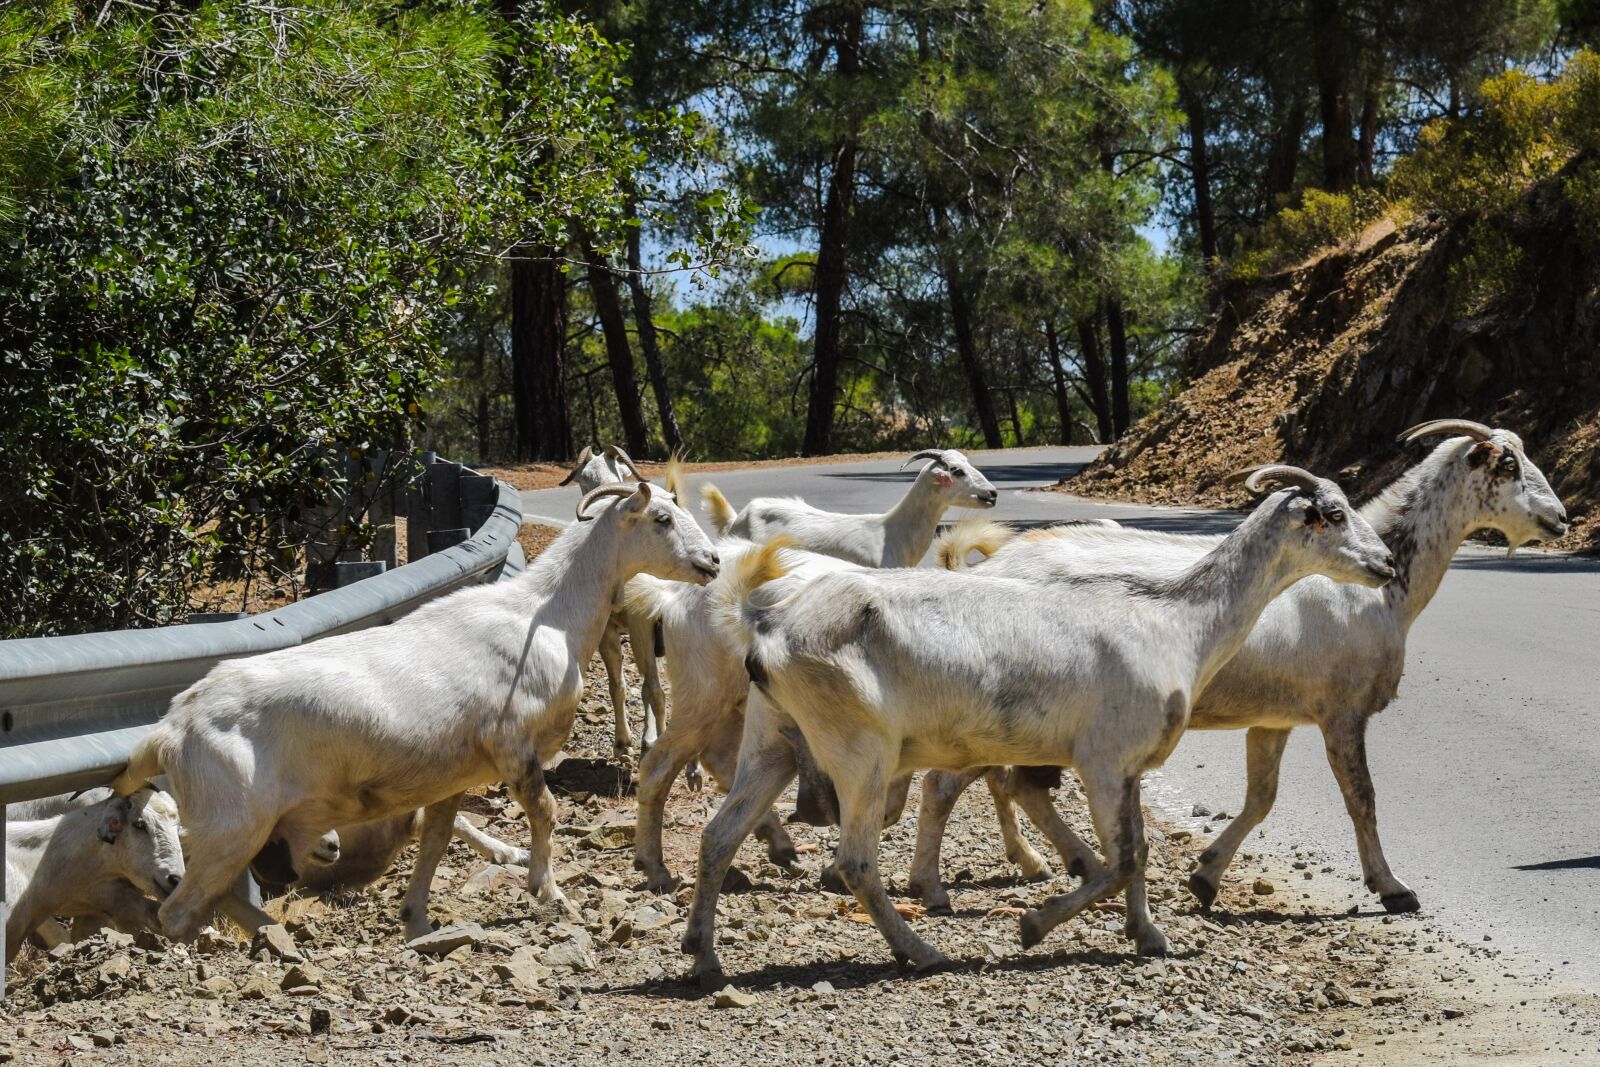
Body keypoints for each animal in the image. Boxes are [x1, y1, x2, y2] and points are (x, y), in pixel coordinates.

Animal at [112, 481, 720, 943]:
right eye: (662, 518)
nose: (712, 561)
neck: (544, 616)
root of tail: (170, 728)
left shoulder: (454, 772)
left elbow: (437, 837)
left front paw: (417, 919)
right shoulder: (513, 746)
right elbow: (545, 813)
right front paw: (550, 894)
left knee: (215, 898)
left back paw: (275, 937)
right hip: (230, 826)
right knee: (176, 911)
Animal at [680, 467, 1396, 986]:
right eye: (1332, 515)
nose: (1387, 565)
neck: (1178, 623)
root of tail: (767, 627)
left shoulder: (1127, 765)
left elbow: (1137, 853)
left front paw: (1148, 935)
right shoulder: (1103, 758)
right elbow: (1122, 859)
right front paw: (1034, 926)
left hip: (773, 739)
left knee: (718, 836)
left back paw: (704, 957)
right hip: (859, 750)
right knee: (856, 863)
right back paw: (924, 951)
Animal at [915, 420, 1569, 917]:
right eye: (1508, 465)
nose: (1561, 520)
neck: (1380, 592)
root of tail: (986, 565)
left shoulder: (1273, 718)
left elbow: (1261, 798)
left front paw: (1205, 876)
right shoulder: (1343, 712)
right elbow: (1362, 798)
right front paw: (1393, 888)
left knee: (1010, 783)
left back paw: (1059, 863)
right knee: (964, 781)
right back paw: (946, 885)